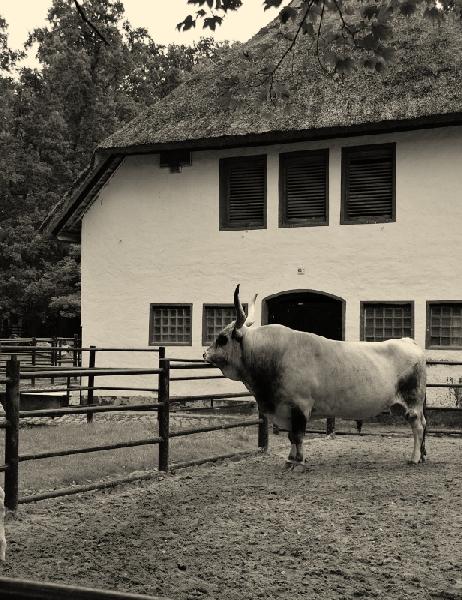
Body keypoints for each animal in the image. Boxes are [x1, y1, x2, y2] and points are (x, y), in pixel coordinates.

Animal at [203, 285, 427, 467]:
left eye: (222, 339)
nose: (205, 354)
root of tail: (407, 341)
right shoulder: (287, 410)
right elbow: (291, 437)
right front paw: (290, 459)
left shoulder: (299, 406)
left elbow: (298, 435)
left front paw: (298, 461)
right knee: (422, 425)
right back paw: (423, 455)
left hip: (412, 402)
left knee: (417, 426)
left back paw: (415, 458)